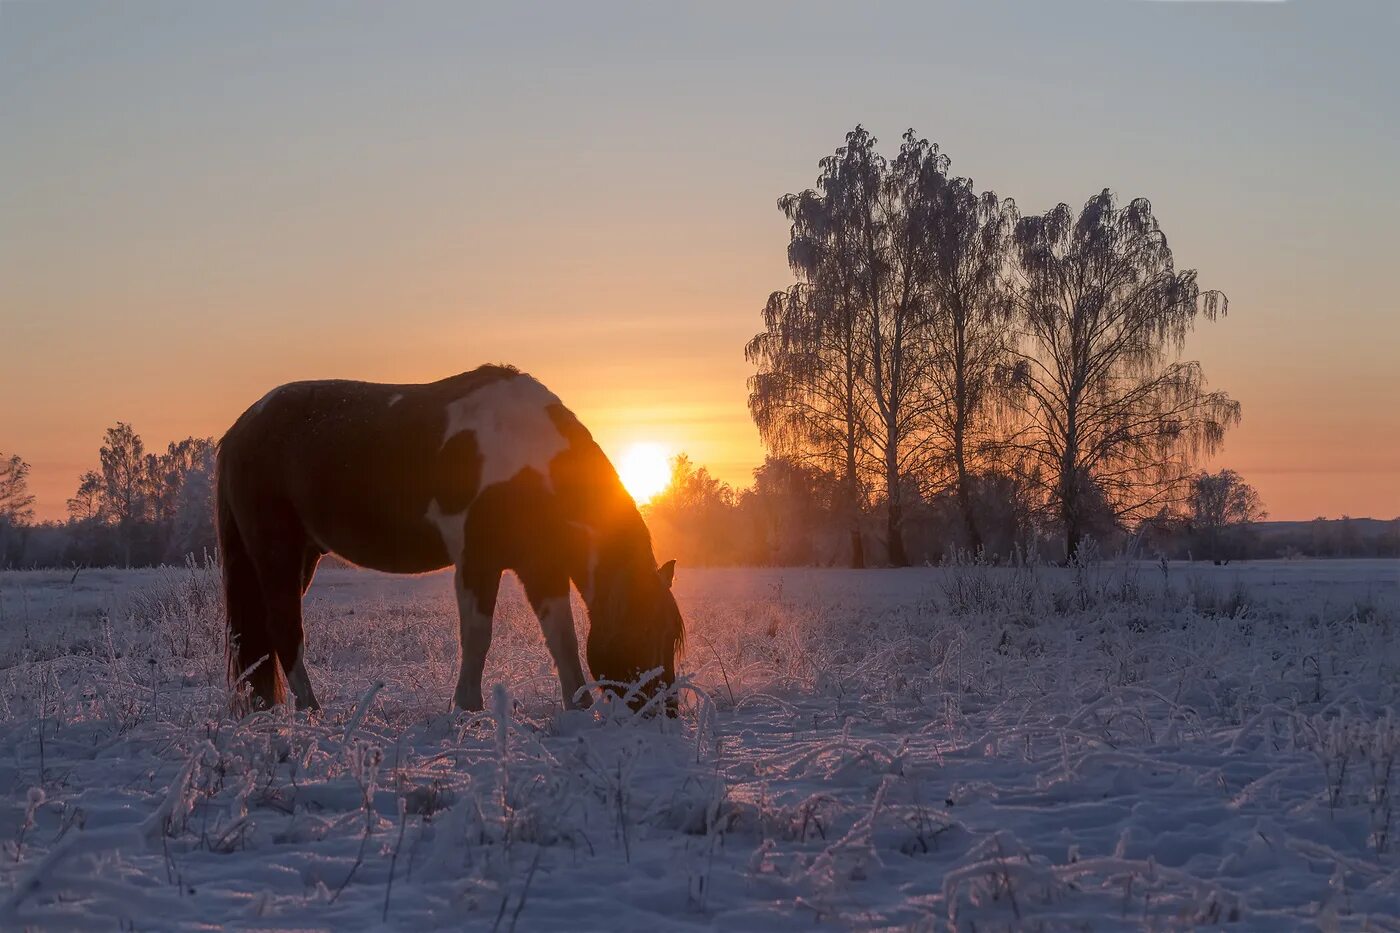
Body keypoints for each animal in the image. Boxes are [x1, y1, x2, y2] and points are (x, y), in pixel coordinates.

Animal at [214, 364, 688, 711]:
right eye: (644, 630)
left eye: (670, 635)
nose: (663, 712)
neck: (529, 458)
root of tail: (241, 429)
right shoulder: (478, 561)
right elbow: (477, 637)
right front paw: (466, 709)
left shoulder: (542, 568)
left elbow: (562, 638)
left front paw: (579, 710)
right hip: (277, 551)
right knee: (284, 628)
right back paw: (311, 711)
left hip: (303, 555)